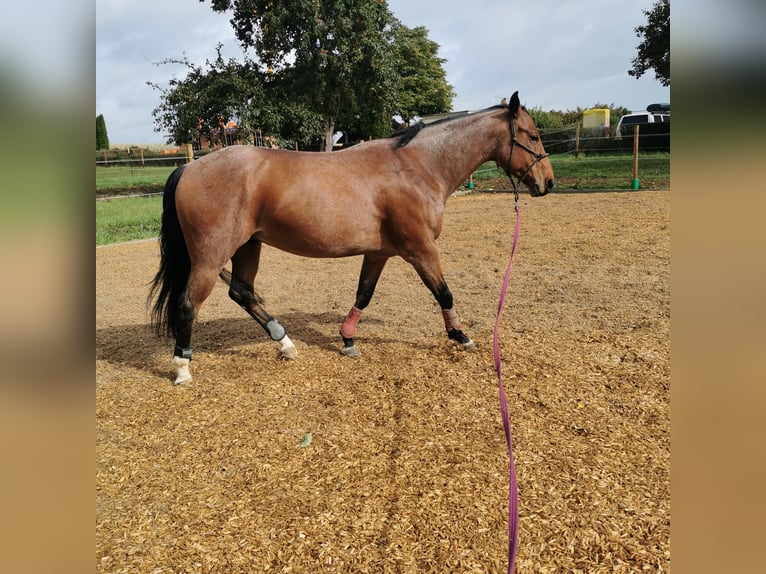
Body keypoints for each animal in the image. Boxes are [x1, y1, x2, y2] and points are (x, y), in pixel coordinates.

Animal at [149, 91, 554, 384]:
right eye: (533, 135)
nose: (547, 182)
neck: (417, 167)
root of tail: (189, 167)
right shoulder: (420, 248)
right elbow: (443, 291)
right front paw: (460, 335)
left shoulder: (380, 253)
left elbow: (364, 294)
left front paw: (347, 339)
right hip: (210, 256)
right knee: (189, 304)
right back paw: (182, 367)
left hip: (249, 246)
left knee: (242, 292)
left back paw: (285, 344)